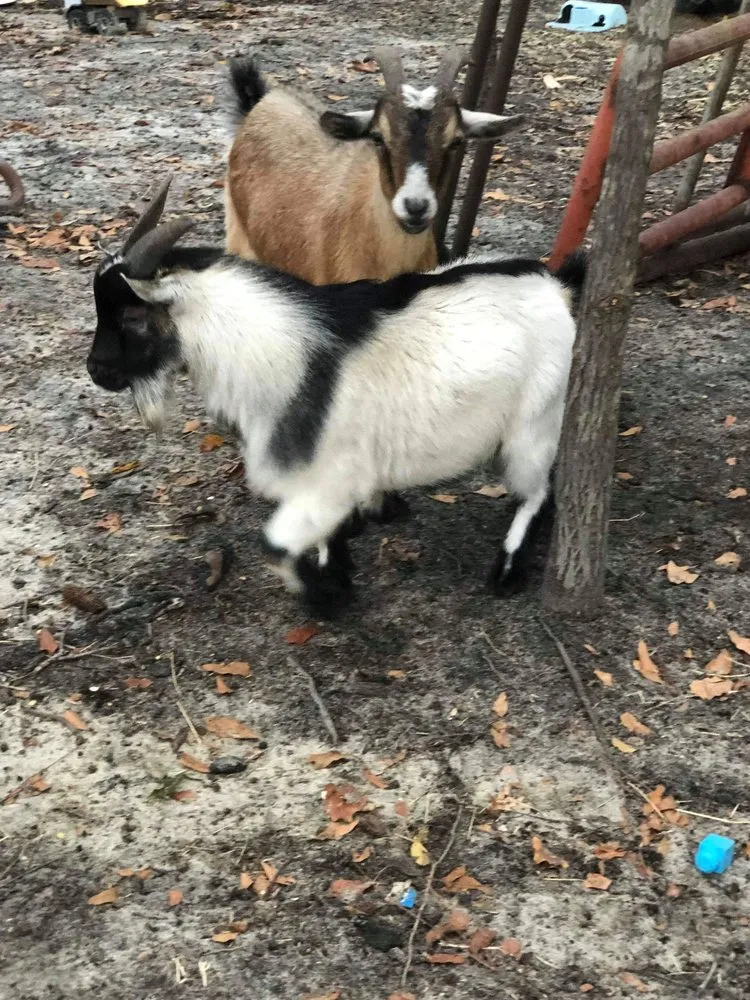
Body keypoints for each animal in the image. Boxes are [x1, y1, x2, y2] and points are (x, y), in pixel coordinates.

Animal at [87, 178, 584, 616]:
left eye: (133, 315)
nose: (96, 370)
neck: (282, 356)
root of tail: (556, 285)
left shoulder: (329, 479)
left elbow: (273, 547)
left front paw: (327, 598)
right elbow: (322, 536)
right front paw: (338, 569)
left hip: (534, 425)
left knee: (538, 492)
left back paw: (507, 569)